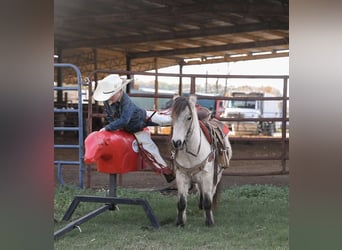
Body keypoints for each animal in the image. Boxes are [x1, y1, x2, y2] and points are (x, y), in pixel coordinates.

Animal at [170, 94, 231, 227]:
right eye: (172, 117)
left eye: (189, 117)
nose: (176, 142)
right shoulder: (181, 176)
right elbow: (181, 202)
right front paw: (180, 222)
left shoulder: (208, 176)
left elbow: (208, 201)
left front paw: (209, 222)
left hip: (217, 175)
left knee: (211, 193)